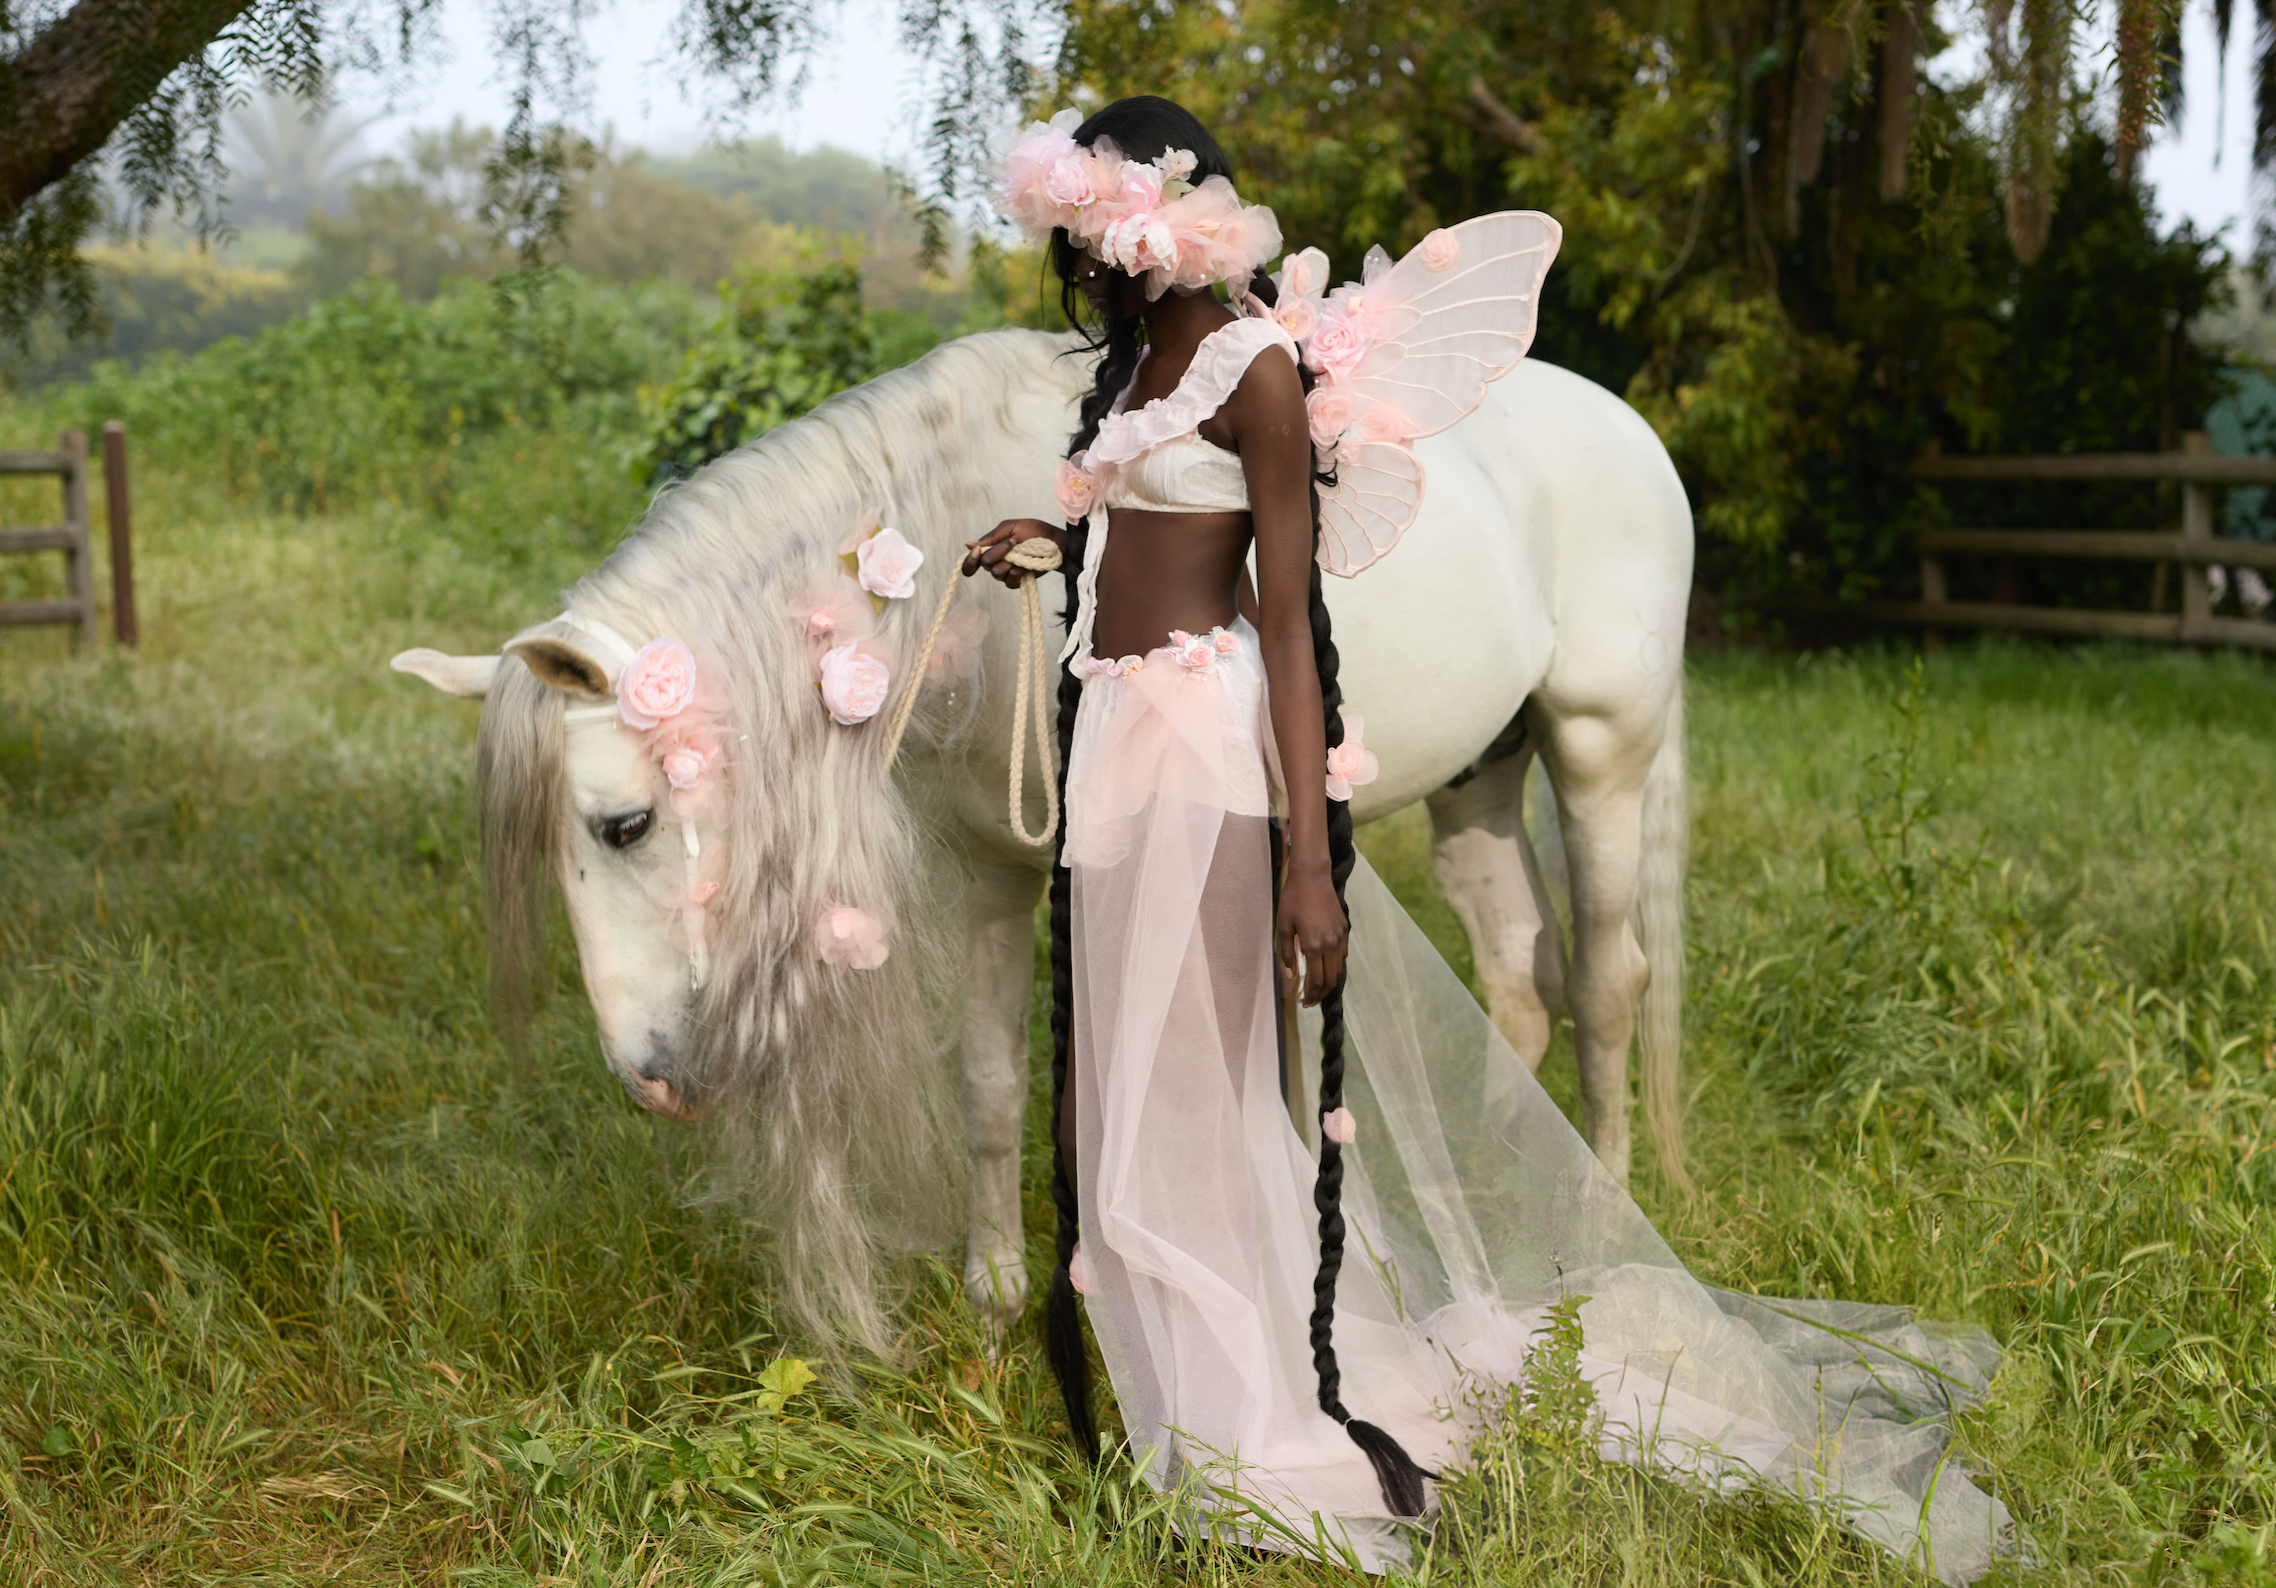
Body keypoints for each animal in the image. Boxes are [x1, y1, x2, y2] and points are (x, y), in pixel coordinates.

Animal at [400, 327, 1702, 1337]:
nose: (652, 1082)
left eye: (623, 824)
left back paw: (1596, 1215)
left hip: (1599, 751)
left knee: (1607, 979)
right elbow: (989, 1084)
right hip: (1478, 778)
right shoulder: (985, 872)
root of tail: (1629, 431)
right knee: (1518, 971)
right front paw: (996, 1289)